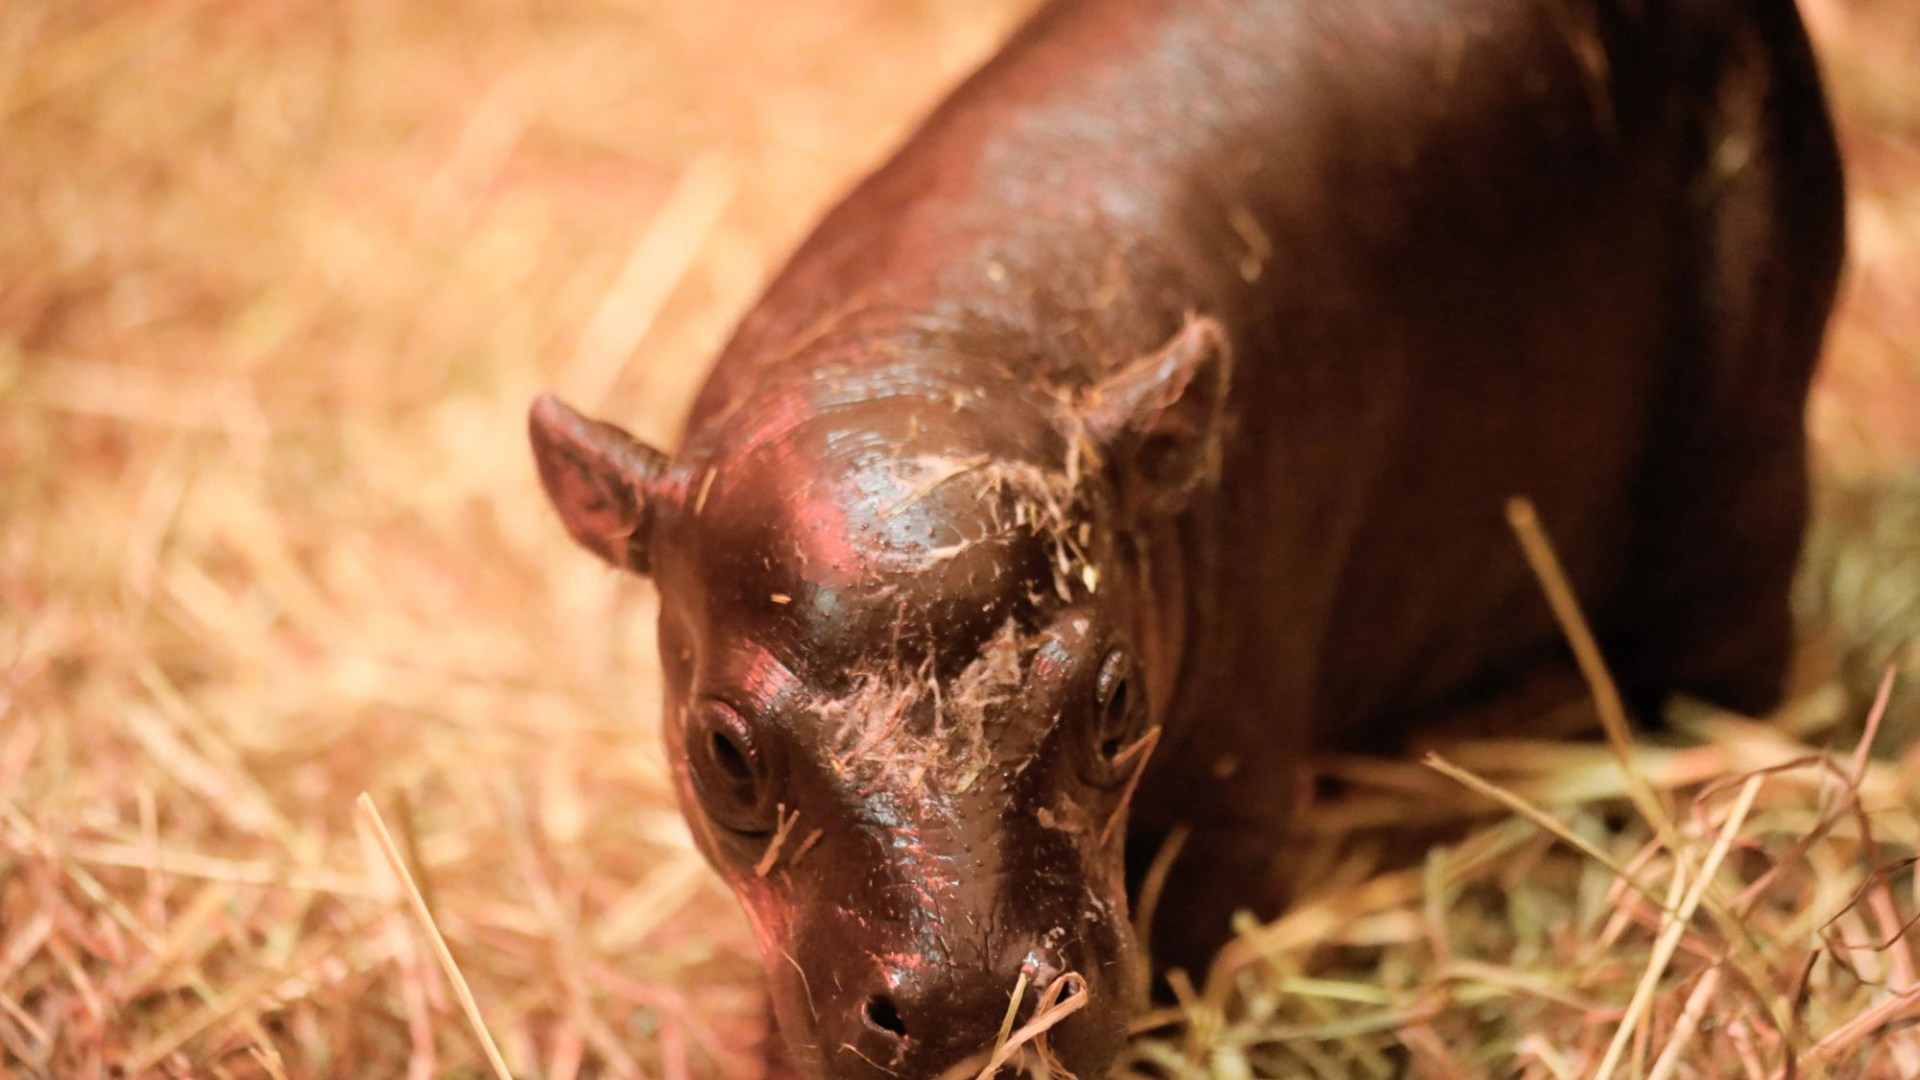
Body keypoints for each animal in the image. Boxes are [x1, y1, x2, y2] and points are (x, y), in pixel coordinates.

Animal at [529, 0, 1843, 1068]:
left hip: (1739, 478)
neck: (917, 344)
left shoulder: (1235, 792)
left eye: (1115, 699)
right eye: (722, 751)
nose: (970, 1007)